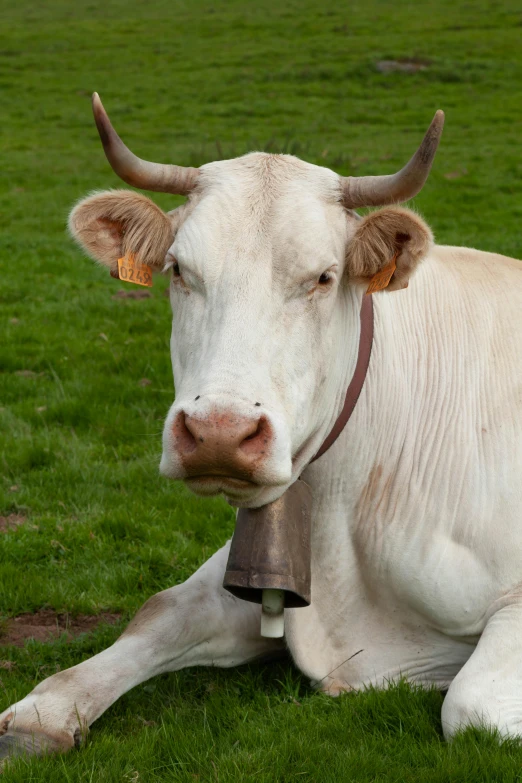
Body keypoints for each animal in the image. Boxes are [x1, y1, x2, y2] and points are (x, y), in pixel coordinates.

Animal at [1, 95, 520, 764]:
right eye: (178, 269)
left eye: (323, 277)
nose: (220, 432)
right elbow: (161, 610)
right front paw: (42, 713)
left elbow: (472, 707)